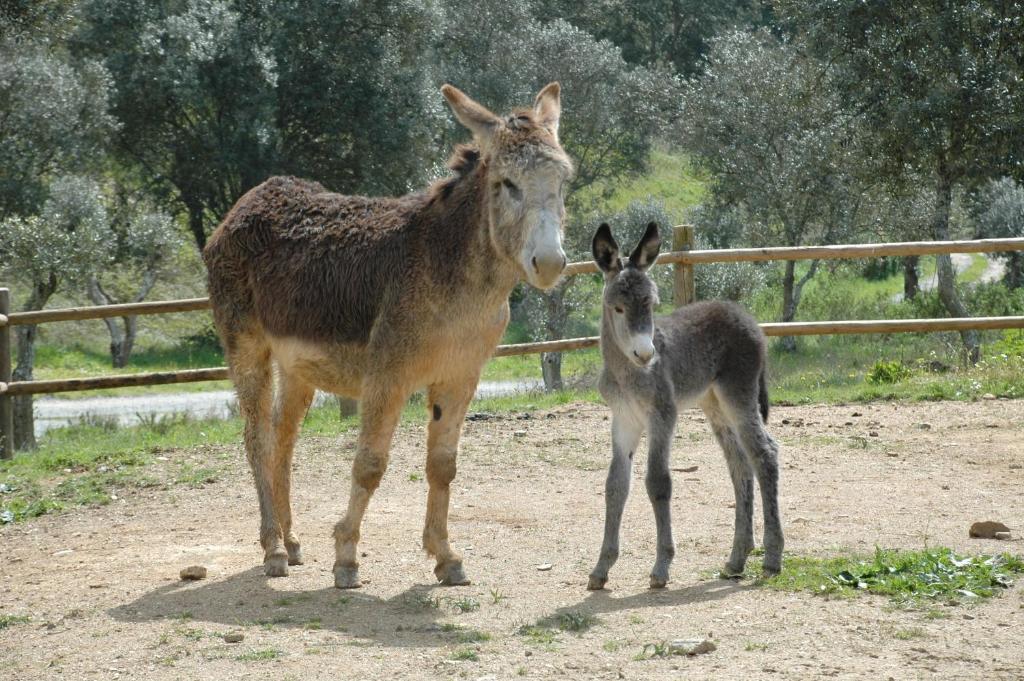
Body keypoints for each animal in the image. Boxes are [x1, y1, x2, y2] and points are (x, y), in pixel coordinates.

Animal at [589, 223, 778, 589]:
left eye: (651, 304)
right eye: (617, 308)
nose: (647, 354)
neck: (626, 373)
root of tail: (744, 314)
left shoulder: (662, 413)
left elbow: (658, 482)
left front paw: (661, 567)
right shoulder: (624, 420)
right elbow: (615, 486)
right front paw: (601, 569)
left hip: (738, 394)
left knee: (765, 455)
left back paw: (772, 559)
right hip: (714, 404)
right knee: (740, 463)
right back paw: (737, 558)